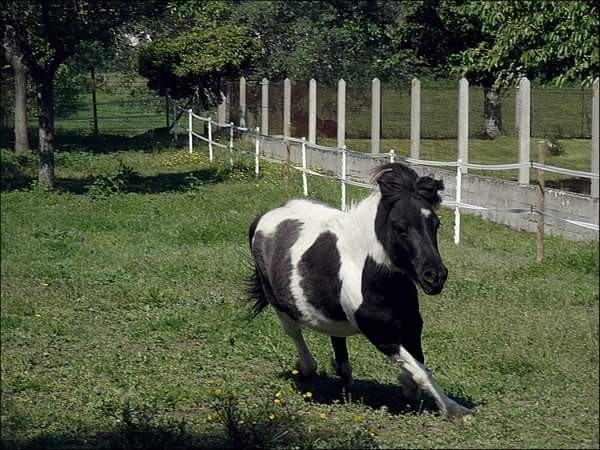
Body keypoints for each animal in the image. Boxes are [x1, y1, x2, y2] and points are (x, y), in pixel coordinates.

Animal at [246, 163, 472, 418]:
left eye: (435, 224)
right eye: (399, 227)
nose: (435, 276)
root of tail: (263, 218)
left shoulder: (411, 326)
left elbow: (419, 365)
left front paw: (409, 387)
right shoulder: (380, 335)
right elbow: (421, 371)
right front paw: (454, 409)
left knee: (336, 337)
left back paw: (344, 377)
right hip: (281, 306)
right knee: (294, 333)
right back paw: (306, 368)